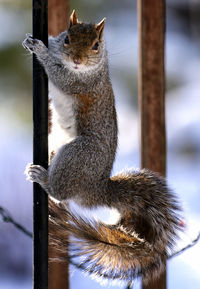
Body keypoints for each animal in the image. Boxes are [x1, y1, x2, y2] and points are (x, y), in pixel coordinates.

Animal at [22, 9, 182, 284]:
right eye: (67, 39)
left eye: (96, 45)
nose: (77, 60)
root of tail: (97, 189)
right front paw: (38, 42)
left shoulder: (82, 82)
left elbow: (60, 75)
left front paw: (40, 51)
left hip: (79, 154)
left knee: (60, 192)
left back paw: (43, 177)